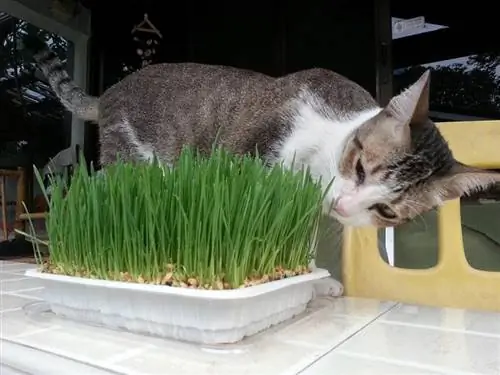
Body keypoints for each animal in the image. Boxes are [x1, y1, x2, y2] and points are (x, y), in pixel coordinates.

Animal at [33, 50, 498, 298]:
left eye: (387, 211)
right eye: (360, 166)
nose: (344, 204)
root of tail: (109, 92)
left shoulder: (303, 207)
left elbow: (298, 246)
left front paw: (316, 283)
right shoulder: (252, 158)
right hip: (130, 159)